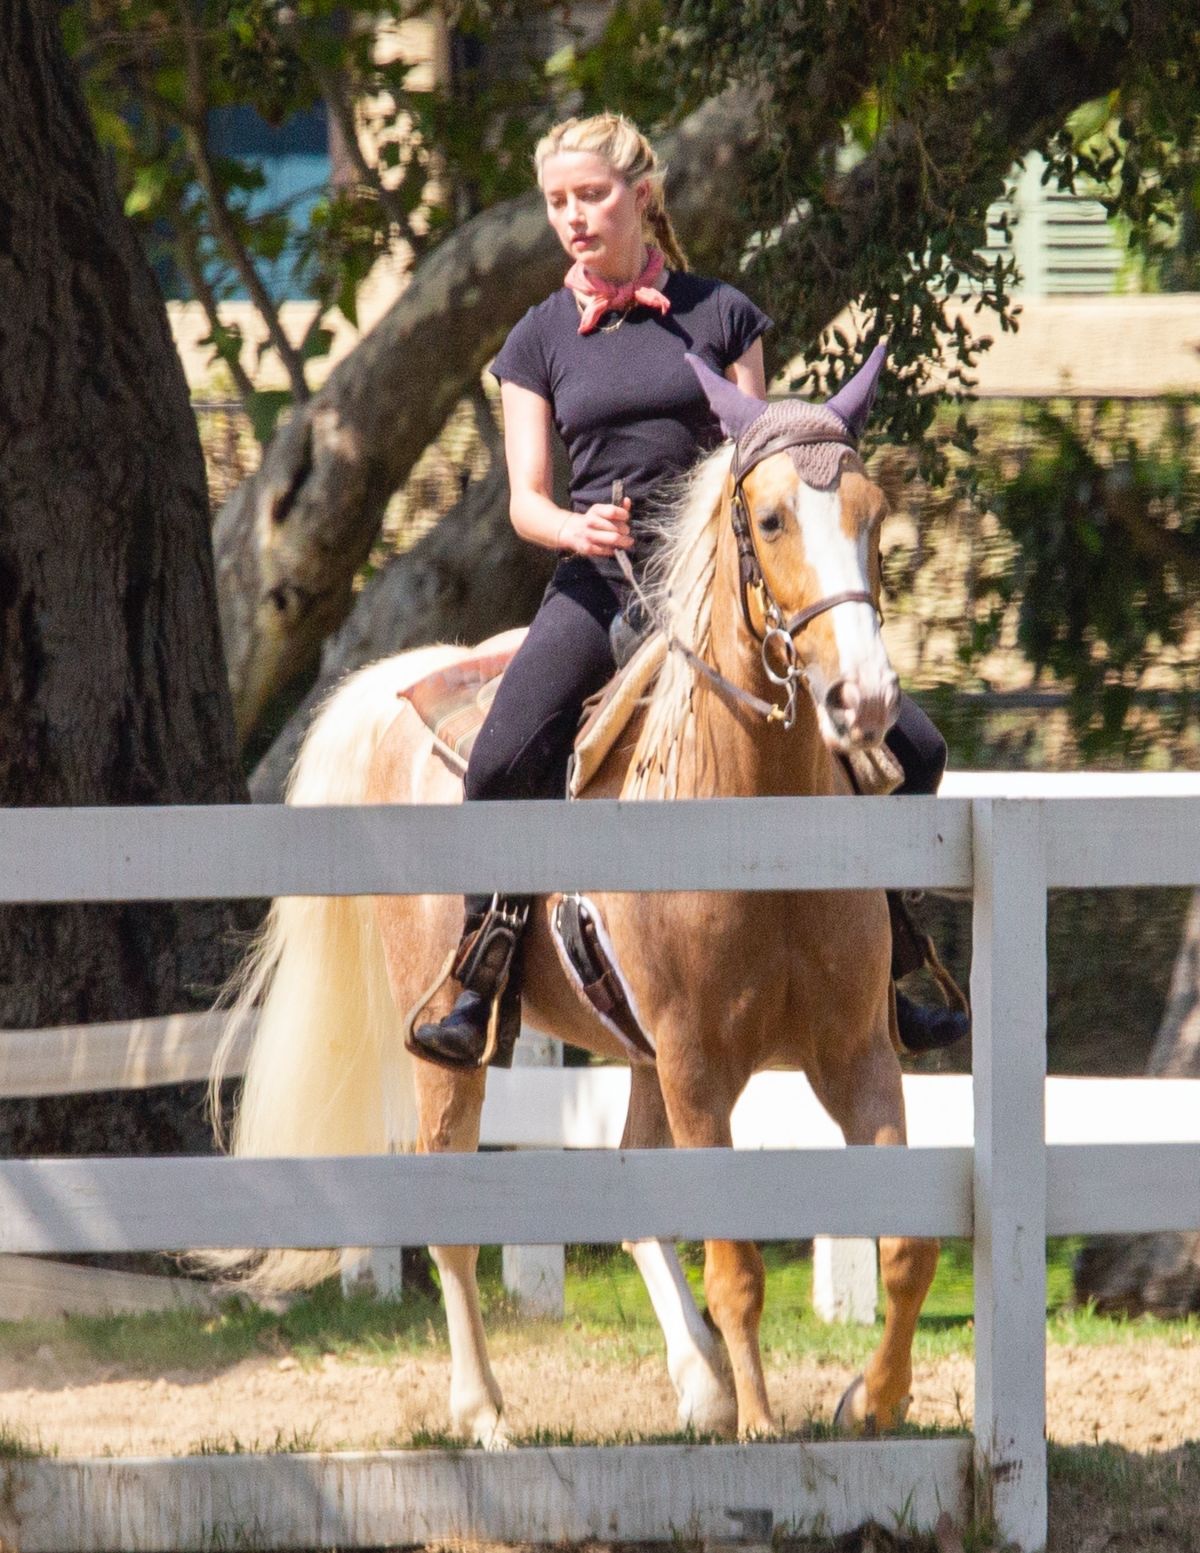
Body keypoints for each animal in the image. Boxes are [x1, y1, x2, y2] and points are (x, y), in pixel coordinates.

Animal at [215, 349, 943, 1441]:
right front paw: (764, 1425)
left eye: (871, 511)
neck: (754, 831)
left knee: (631, 1185)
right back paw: (485, 1409)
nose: (864, 700)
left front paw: (873, 1397)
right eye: (771, 519)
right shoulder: (696, 1067)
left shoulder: (853, 1050)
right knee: (454, 1218)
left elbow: (904, 1246)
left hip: (640, 1056)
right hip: (451, 1049)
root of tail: (403, 682)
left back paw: (699, 1382)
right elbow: (737, 1269)